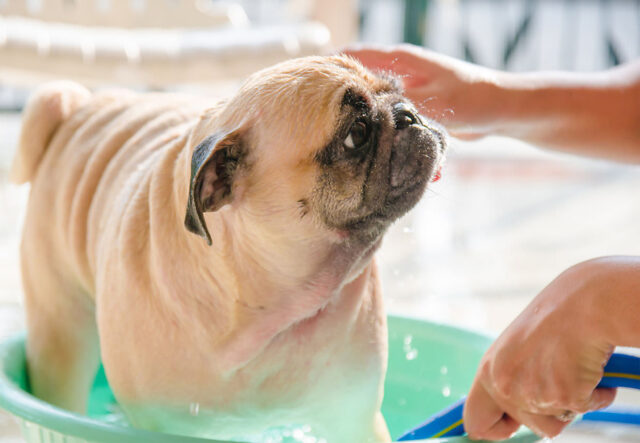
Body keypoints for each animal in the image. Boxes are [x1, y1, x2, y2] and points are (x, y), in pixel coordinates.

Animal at [12, 56, 448, 443]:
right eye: (356, 134)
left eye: (396, 89)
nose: (407, 114)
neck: (269, 304)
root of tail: (77, 108)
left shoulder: (352, 415)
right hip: (60, 337)